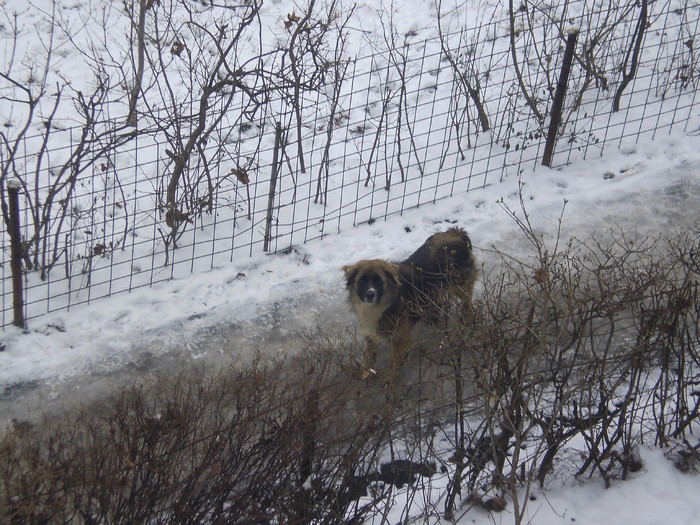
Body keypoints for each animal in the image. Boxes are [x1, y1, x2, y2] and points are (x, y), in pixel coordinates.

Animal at [340, 225, 476, 376]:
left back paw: (465, 320)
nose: (370, 294)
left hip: (460, 287)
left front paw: (389, 380)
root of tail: (456, 233)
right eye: (362, 280)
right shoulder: (372, 335)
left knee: (467, 301)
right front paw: (365, 373)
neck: (382, 306)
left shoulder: (401, 339)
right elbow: (370, 357)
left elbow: (393, 367)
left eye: (378, 281)